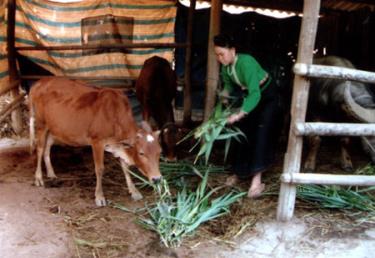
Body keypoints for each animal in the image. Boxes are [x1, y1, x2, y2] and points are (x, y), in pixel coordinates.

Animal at [30, 77, 162, 207]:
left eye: (159, 152)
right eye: (141, 153)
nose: (157, 179)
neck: (115, 117)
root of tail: (40, 82)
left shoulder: (119, 145)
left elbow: (125, 167)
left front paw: (134, 192)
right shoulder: (97, 142)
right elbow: (99, 169)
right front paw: (99, 197)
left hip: (54, 128)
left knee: (47, 147)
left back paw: (51, 173)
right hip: (41, 124)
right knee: (40, 148)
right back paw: (38, 178)